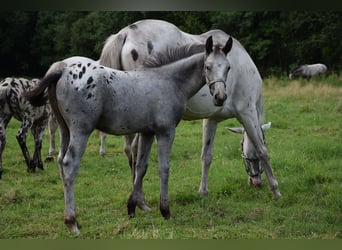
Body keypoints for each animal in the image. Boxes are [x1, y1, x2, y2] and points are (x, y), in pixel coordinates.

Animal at [24, 36, 232, 233]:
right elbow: (164, 168)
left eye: (228, 68)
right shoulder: (166, 131)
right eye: (208, 66)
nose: (220, 97)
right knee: (69, 164)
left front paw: (133, 207)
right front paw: (165, 210)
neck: (169, 81)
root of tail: (61, 69)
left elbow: (141, 166)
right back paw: (72, 222)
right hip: (80, 130)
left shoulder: (147, 132)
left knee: (60, 162)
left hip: (64, 129)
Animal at [99, 18, 280, 197]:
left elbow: (207, 155)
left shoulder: (212, 119)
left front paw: (203, 191)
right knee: (136, 150)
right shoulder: (247, 113)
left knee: (130, 150)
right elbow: (262, 149)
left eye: (228, 68)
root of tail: (126, 33)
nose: (256, 182)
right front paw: (275, 190)